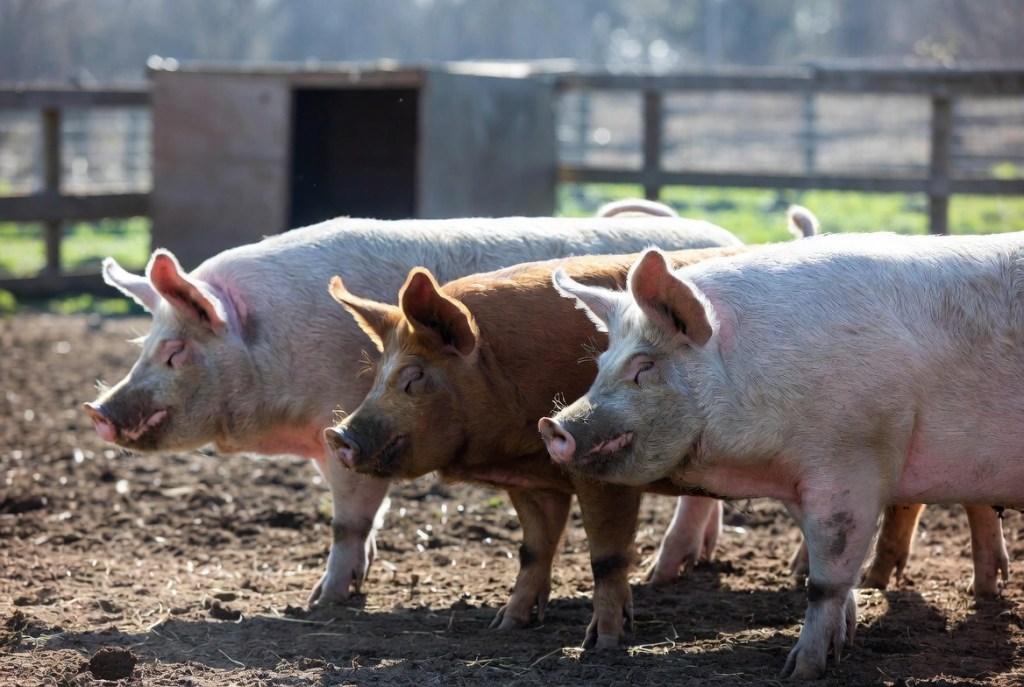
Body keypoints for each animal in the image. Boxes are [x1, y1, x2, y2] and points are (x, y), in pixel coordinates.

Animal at [83, 208, 742, 607]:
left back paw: (665, 573)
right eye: (144, 343)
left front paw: (320, 601)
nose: (98, 411)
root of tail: (730, 238)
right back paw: (684, 568)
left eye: (175, 351)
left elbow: (349, 519)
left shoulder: (345, 424)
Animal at [324, 245, 751, 650]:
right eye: (376, 375)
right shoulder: (533, 483)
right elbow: (533, 550)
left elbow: (606, 556)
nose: (337, 435)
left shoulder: (603, 471)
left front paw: (602, 643)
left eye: (414, 376)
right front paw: (506, 625)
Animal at [540, 231, 1024, 678]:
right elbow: (832, 572)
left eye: (644, 366)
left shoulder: (851, 462)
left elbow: (825, 579)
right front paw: (841, 644)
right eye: (601, 365)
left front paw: (798, 671)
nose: (554, 425)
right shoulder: (798, 481)